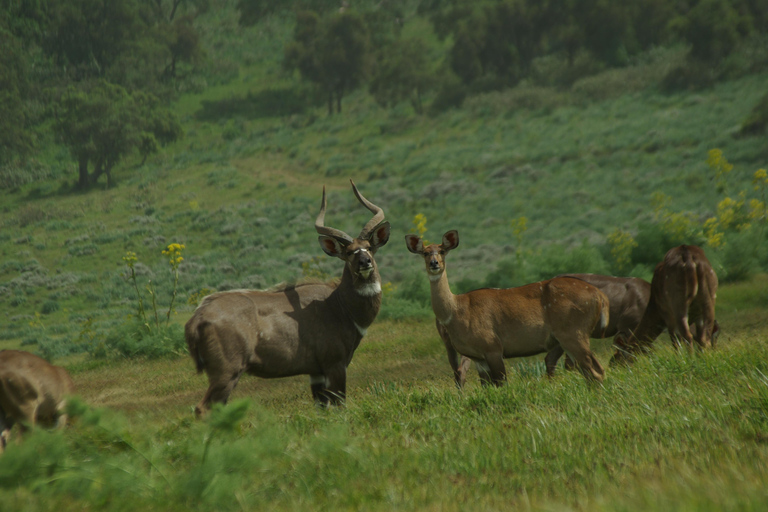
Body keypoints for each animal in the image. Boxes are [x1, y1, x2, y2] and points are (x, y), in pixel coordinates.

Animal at [184, 180, 390, 416]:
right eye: (349, 253)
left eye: (369, 248)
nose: (365, 262)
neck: (339, 305)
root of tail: (197, 318)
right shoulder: (335, 365)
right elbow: (340, 405)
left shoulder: (316, 373)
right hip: (227, 373)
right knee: (203, 408)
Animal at [404, 230, 608, 386]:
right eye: (425, 253)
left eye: (442, 250)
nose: (434, 263)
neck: (457, 312)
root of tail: (600, 296)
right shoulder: (478, 358)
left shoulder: (493, 346)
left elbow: (502, 384)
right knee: (591, 371)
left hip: (573, 333)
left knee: (596, 371)